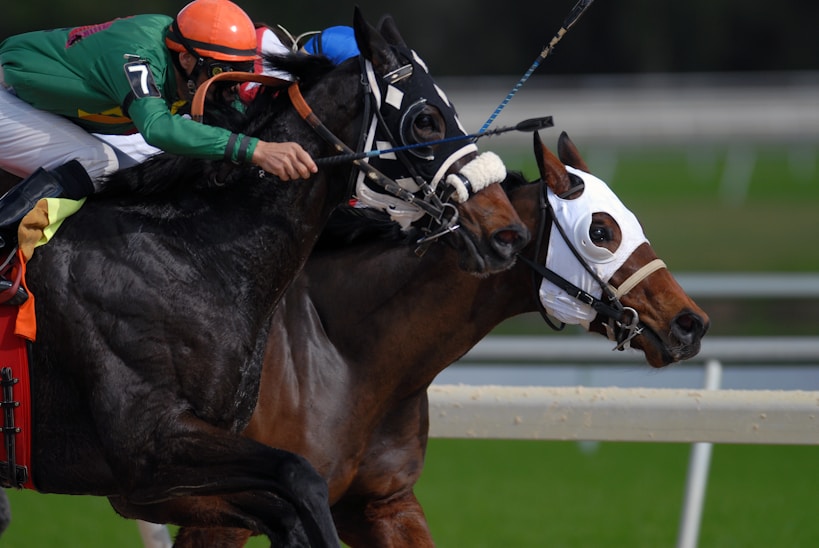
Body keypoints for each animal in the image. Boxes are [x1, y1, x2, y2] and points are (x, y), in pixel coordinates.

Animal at [2, 9, 530, 547]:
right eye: (425, 119)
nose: (506, 233)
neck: (190, 254)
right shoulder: (148, 449)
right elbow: (301, 476)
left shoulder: (169, 478)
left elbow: (288, 508)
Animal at [170, 130, 710, 546]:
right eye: (600, 231)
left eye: (632, 220)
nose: (691, 323)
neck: (344, 357)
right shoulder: (217, 516)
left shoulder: (381, 502)